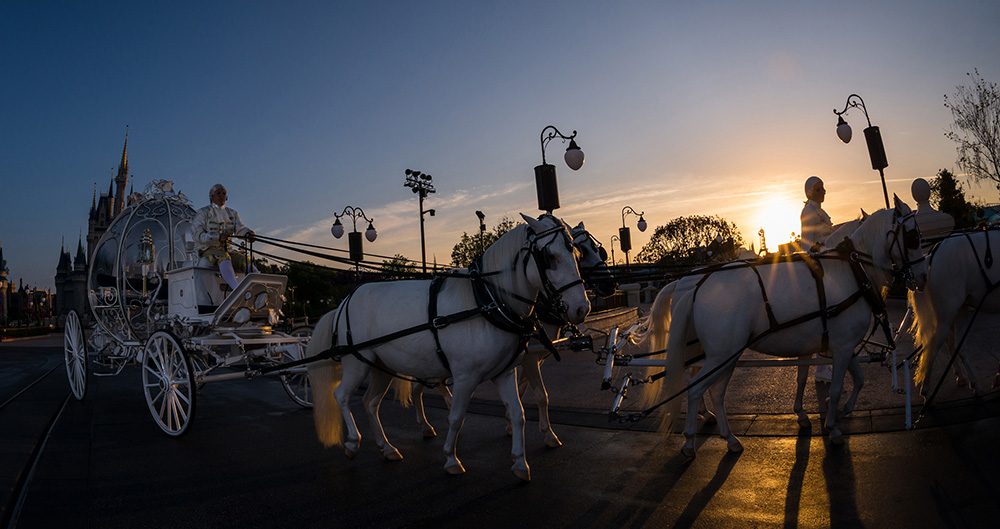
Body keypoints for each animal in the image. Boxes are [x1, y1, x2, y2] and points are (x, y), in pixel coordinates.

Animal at [304, 213, 584, 478]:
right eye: (549, 257)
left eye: (576, 253)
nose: (582, 308)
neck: (486, 302)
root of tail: (343, 302)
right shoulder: (465, 376)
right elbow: (456, 416)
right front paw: (451, 458)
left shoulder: (505, 373)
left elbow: (518, 413)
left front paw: (519, 462)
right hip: (356, 363)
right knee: (341, 395)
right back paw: (353, 443)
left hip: (381, 366)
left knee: (370, 403)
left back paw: (387, 447)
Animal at [404, 221, 608, 448]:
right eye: (583, 252)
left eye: (597, 250)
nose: (610, 283)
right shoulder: (529, 358)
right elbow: (540, 394)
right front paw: (547, 433)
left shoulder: (528, 358)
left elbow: (522, 389)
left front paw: (511, 422)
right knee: (421, 387)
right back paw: (430, 422)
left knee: (424, 385)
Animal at [644, 200, 924, 456]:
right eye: (913, 236)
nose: (920, 275)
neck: (850, 271)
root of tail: (696, 286)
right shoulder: (843, 348)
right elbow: (835, 387)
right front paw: (832, 427)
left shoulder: (838, 346)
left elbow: (853, 379)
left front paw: (834, 412)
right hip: (721, 356)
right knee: (695, 389)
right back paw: (689, 441)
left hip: (725, 357)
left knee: (715, 391)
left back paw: (728, 437)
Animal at [908, 229, 1000, 394]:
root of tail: (932, 256)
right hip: (947, 314)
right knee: (934, 345)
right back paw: (926, 389)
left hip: (958, 310)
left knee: (957, 345)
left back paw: (971, 382)